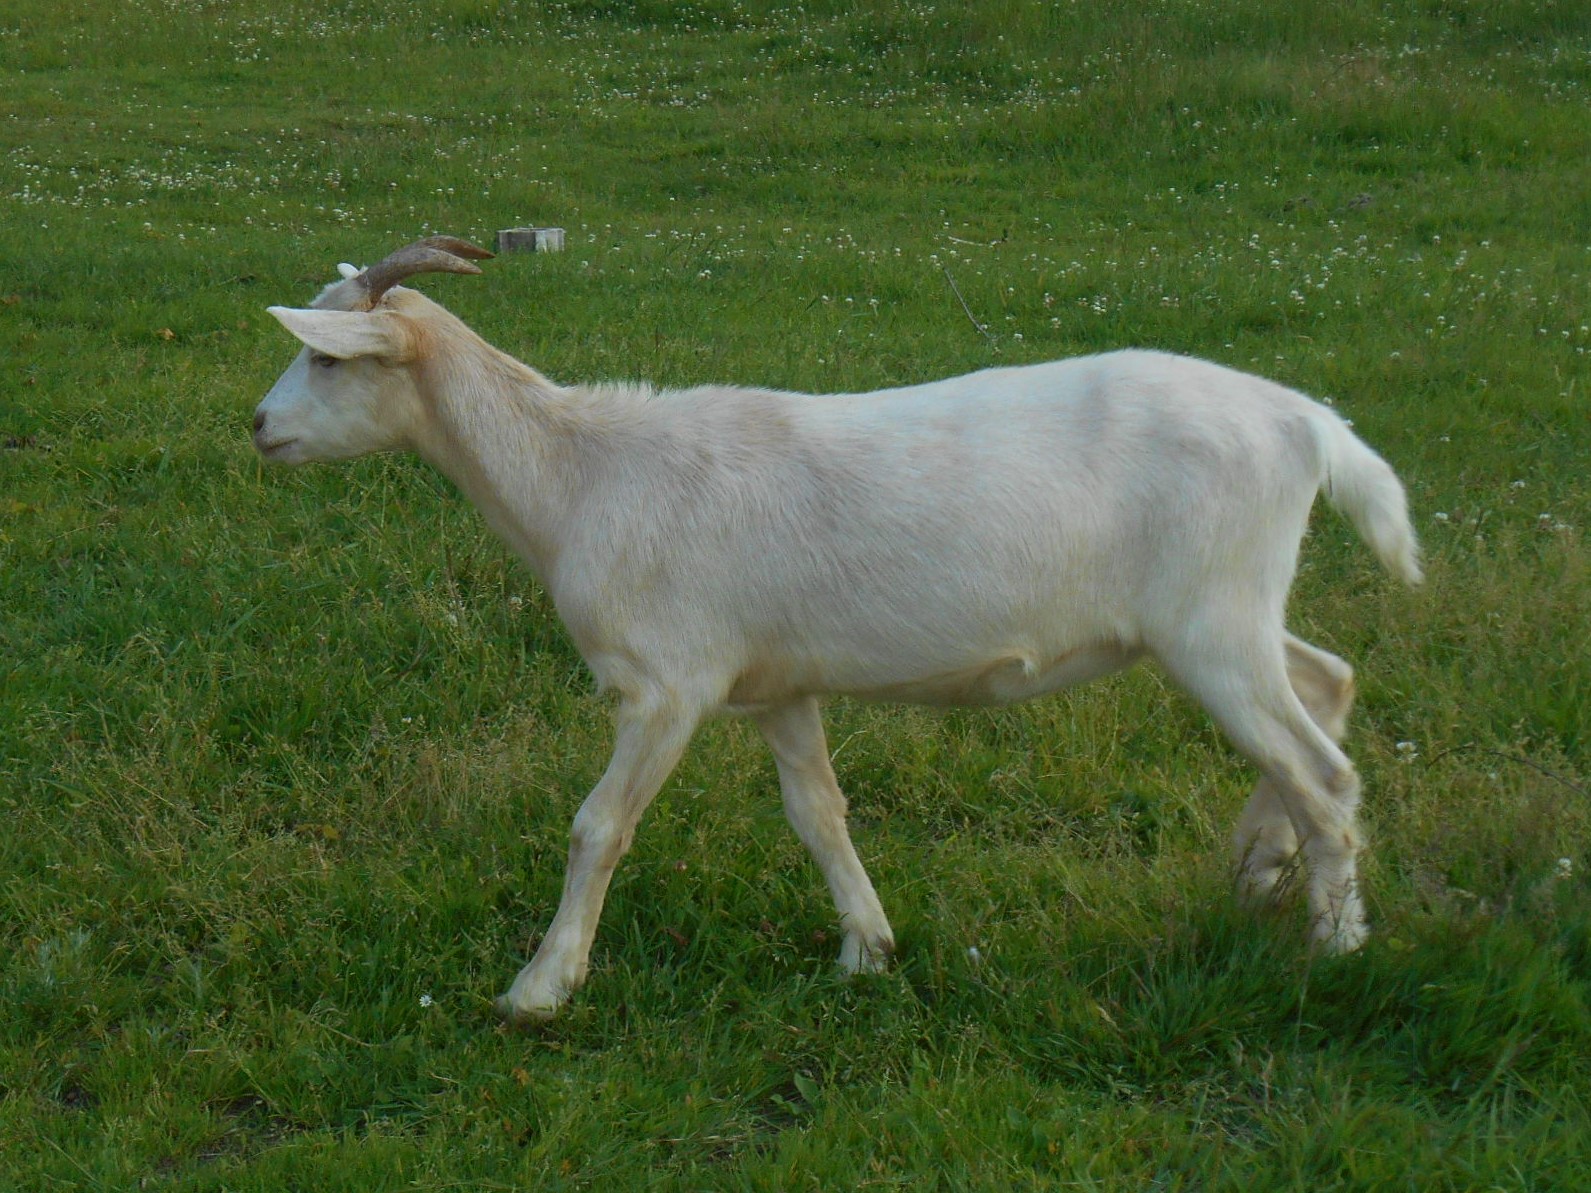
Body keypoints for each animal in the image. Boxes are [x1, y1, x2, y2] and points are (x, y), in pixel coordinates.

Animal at [252, 235, 1423, 1023]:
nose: (260, 427)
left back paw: (1335, 943)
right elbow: (818, 814)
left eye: (328, 359)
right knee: (1326, 681)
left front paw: (539, 987)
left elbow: (599, 825)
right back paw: (1258, 865)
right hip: (1222, 613)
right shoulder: (775, 684)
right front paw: (867, 947)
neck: (581, 475)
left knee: (1323, 768)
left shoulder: (667, 684)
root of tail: (1309, 424)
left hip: (1208, 620)